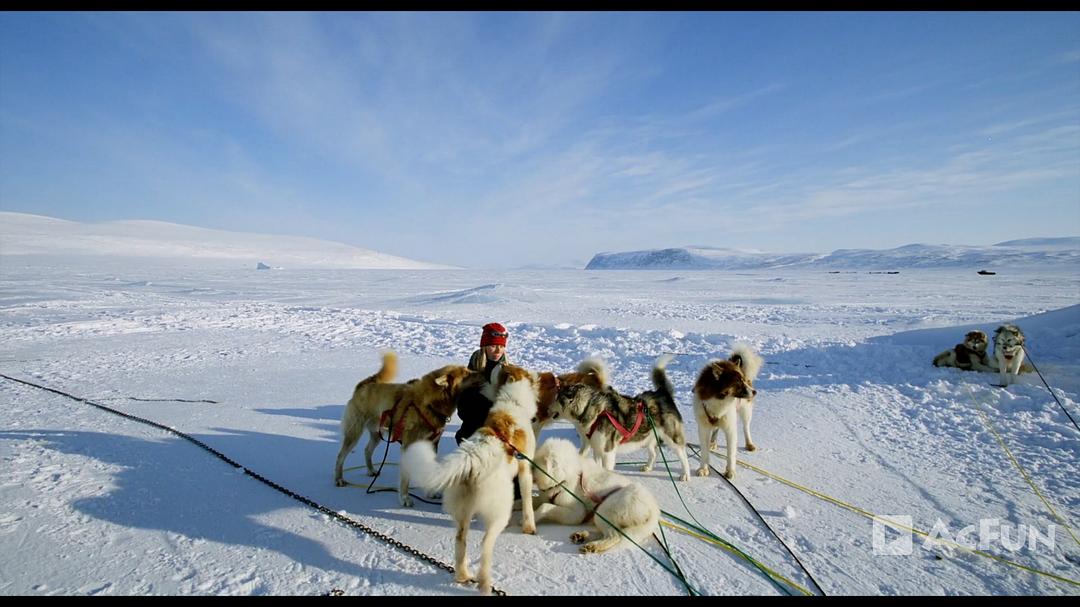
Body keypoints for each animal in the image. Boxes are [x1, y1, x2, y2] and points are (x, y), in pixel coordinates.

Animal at [330, 352, 479, 503]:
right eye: (466, 373)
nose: (482, 372)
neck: (428, 404)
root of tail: (366, 383)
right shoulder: (408, 446)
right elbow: (405, 477)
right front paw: (404, 497)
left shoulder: (431, 444)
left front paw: (430, 492)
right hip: (354, 434)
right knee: (340, 456)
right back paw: (339, 479)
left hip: (377, 435)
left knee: (367, 450)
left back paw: (371, 470)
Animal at [401, 360, 540, 591]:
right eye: (504, 366)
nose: (499, 361)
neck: (511, 402)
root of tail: (472, 456)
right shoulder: (524, 469)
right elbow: (528, 500)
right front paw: (530, 527)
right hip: (499, 512)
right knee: (485, 545)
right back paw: (484, 581)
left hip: (462, 513)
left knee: (460, 542)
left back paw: (463, 575)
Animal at [691, 345, 768, 477]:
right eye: (739, 382)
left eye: (744, 380)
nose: (754, 392)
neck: (718, 399)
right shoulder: (703, 428)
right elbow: (704, 452)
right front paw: (703, 468)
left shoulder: (730, 429)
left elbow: (731, 453)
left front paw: (730, 471)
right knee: (716, 429)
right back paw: (713, 442)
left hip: (745, 410)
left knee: (746, 427)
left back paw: (749, 444)